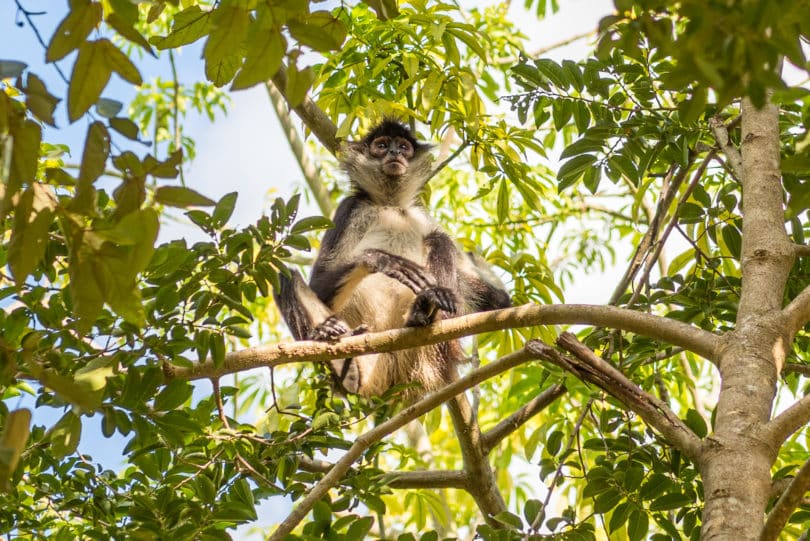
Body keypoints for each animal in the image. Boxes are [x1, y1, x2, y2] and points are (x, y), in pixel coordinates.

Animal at [274, 119, 508, 396]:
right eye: (382, 145)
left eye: (403, 147)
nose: (394, 152)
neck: (391, 206)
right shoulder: (349, 208)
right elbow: (319, 287)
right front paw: (382, 260)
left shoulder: (420, 213)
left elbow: (500, 302)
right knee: (283, 275)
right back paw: (338, 355)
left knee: (439, 241)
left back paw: (424, 308)